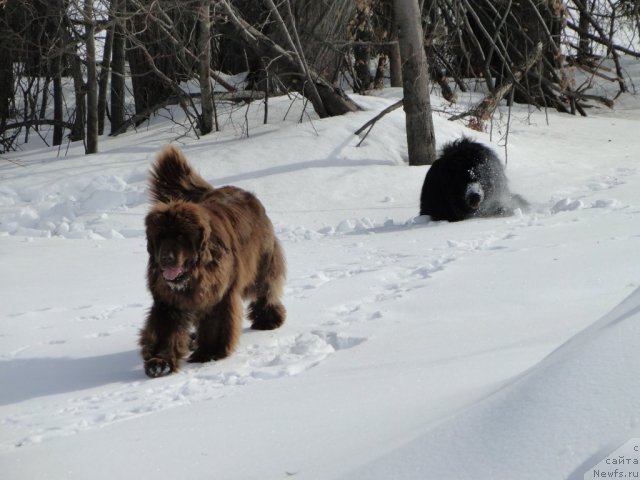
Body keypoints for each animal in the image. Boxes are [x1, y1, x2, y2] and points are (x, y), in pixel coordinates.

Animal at [143, 144, 290, 376]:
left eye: (180, 236)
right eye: (161, 237)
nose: (165, 259)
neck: (195, 273)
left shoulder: (220, 295)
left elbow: (215, 323)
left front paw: (209, 353)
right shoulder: (168, 301)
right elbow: (164, 329)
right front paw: (159, 362)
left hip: (262, 265)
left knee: (265, 289)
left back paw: (268, 319)